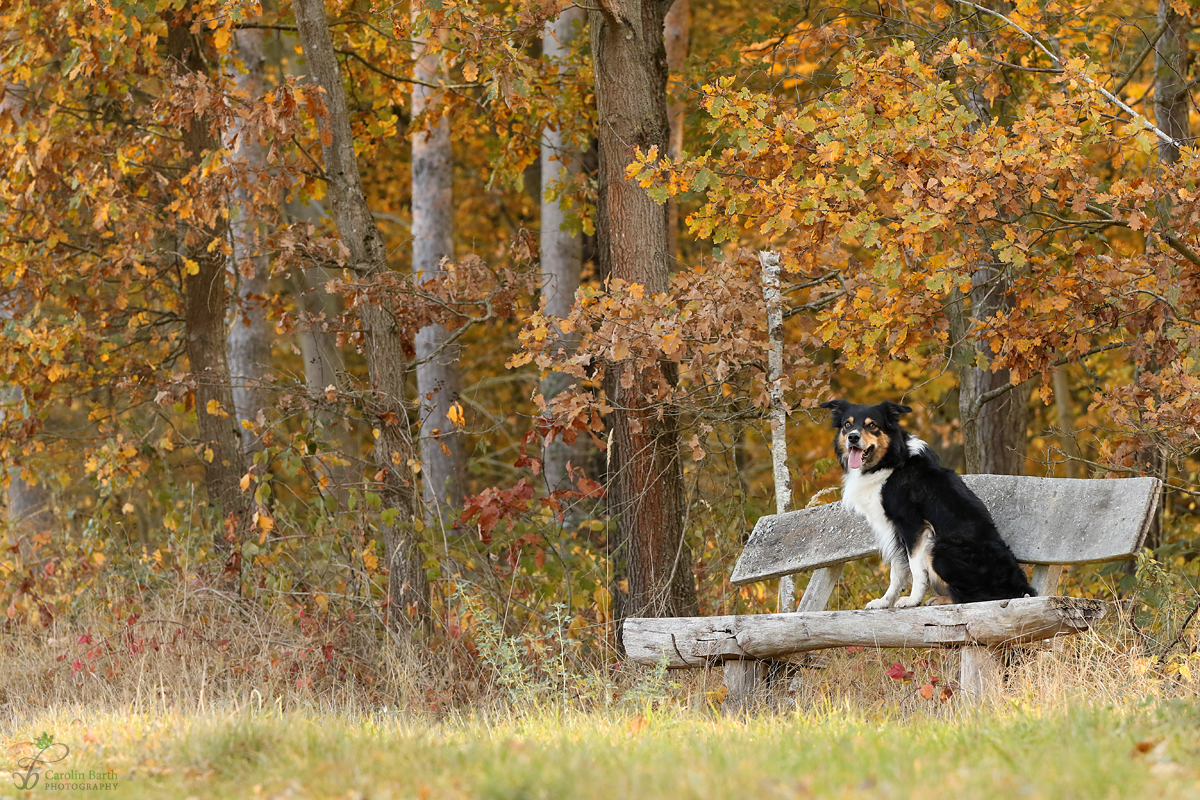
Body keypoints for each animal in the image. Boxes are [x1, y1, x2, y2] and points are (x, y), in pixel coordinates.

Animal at [820, 398, 1036, 609]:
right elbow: (897, 571)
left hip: (938, 547)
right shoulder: (895, 530)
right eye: (847, 425)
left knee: (978, 597)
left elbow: (915, 568)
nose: (853, 437)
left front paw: (912, 600)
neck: (891, 461)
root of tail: (1021, 589)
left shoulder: (912, 525)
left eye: (872, 425)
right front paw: (885, 601)